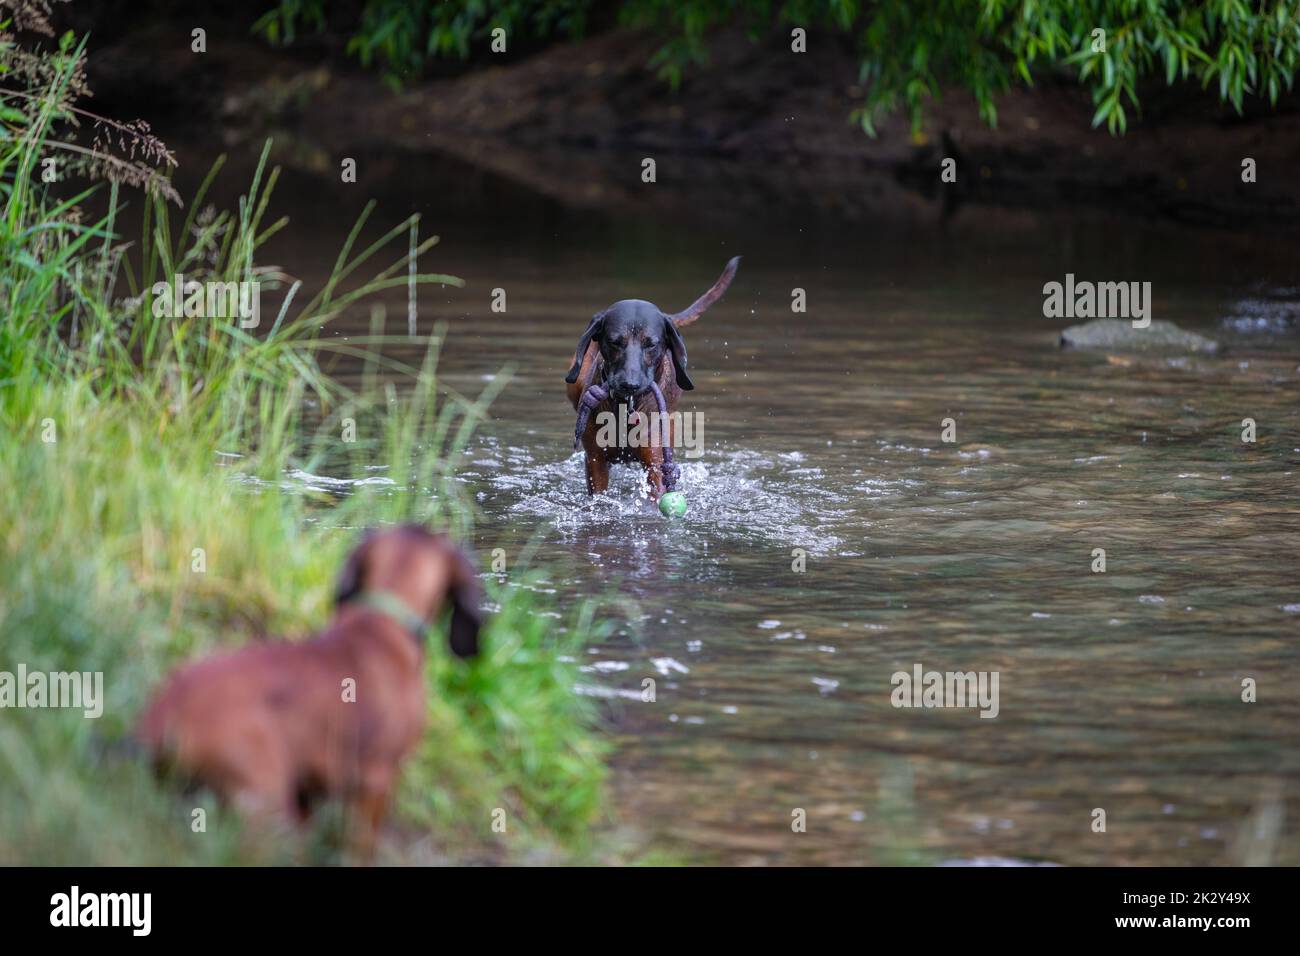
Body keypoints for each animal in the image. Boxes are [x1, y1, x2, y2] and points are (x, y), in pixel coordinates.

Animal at [135, 528, 483, 858]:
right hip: (264, 805)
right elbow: (360, 849)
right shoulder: (375, 782)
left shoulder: (309, 790)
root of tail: (163, 714)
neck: (380, 623)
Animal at [561, 260, 738, 502]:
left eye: (651, 344)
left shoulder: (656, 464)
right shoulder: (595, 460)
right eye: (614, 342)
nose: (630, 384)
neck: (627, 407)